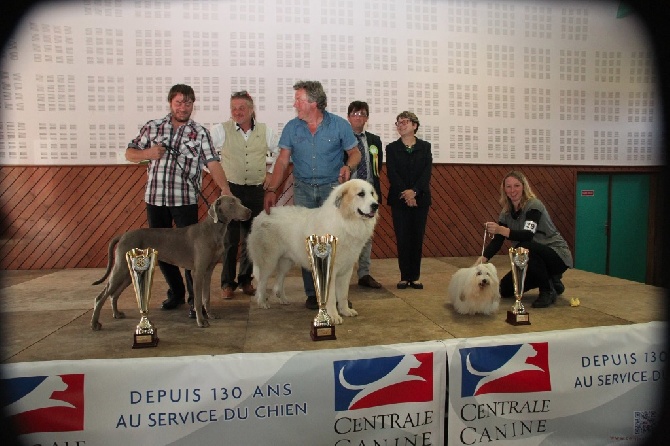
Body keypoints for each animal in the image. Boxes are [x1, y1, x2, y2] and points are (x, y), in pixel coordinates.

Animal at [92, 195, 252, 328]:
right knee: (101, 296)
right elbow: (198, 300)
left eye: (240, 201)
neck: (213, 230)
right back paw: (95, 324)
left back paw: (116, 314)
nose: (249, 211)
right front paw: (201, 321)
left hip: (127, 273)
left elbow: (206, 297)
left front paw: (211, 315)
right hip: (121, 269)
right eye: (231, 203)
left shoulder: (208, 271)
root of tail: (123, 235)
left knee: (113, 294)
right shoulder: (198, 272)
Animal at [249, 179, 380, 324]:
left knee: (279, 278)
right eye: (361, 194)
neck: (345, 221)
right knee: (262, 281)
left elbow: (343, 295)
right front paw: (333, 316)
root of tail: (261, 215)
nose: (376, 205)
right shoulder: (330, 269)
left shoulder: (347, 269)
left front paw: (345, 310)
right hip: (269, 260)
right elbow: (331, 297)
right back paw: (262, 302)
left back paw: (282, 298)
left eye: (372, 193)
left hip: (286, 261)